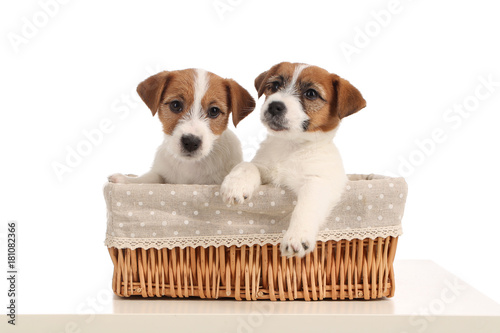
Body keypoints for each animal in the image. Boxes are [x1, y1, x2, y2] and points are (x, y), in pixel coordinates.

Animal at [108, 68, 256, 184]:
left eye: (214, 111)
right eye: (175, 105)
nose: (190, 142)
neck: (190, 165)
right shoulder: (162, 173)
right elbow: (150, 177)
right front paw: (126, 179)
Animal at [221, 63, 366, 258]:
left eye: (311, 93)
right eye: (275, 85)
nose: (274, 106)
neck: (290, 147)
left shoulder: (319, 182)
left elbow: (305, 207)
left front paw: (296, 237)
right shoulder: (265, 169)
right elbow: (247, 165)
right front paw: (235, 185)